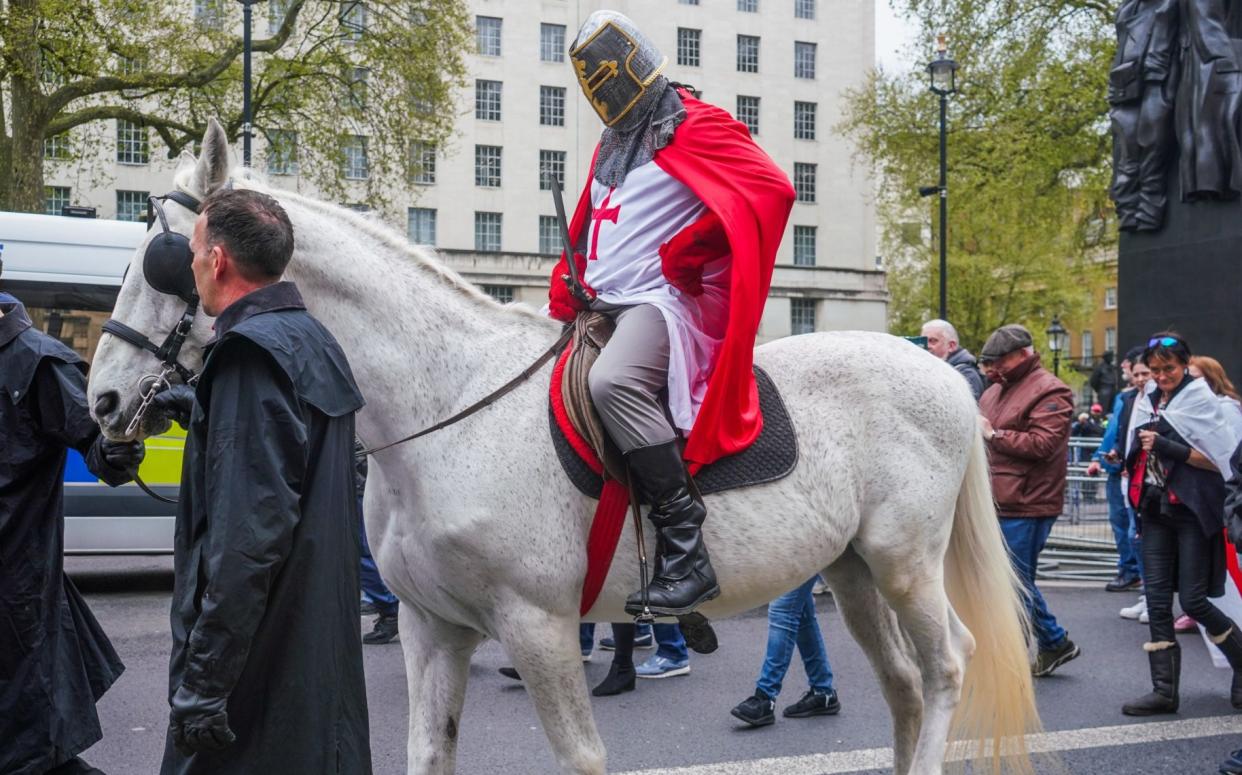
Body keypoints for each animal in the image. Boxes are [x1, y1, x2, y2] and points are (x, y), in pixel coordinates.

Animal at [85, 122, 1038, 775]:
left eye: (163, 260)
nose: (102, 399)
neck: (446, 404)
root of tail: (938, 368)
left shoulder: (539, 625)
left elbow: (581, 756)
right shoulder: (433, 627)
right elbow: (429, 751)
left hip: (904, 560)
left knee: (947, 664)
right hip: (852, 566)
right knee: (904, 684)